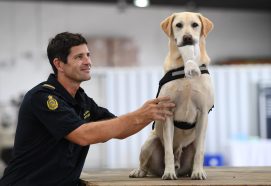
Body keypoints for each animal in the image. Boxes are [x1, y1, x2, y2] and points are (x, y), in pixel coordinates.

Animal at [130, 12, 215, 180]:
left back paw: (190, 171)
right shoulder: (168, 112)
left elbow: (200, 151)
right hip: (150, 142)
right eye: (179, 25)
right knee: (146, 163)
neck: (184, 66)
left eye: (195, 25)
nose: (188, 38)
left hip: (191, 145)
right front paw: (169, 173)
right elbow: (168, 150)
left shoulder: (203, 113)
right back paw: (140, 171)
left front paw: (198, 172)